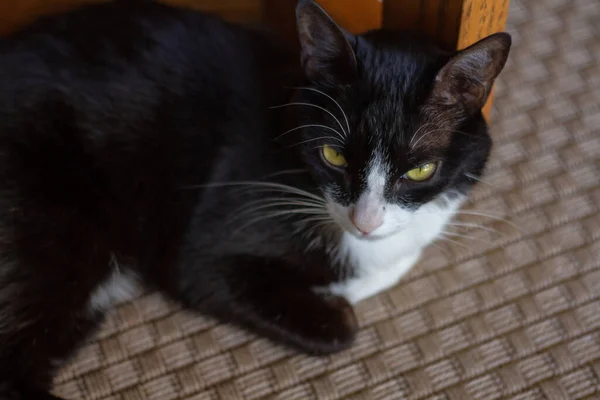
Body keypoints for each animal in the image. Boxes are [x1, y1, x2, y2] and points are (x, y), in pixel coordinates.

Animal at [0, 0, 510, 396]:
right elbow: (338, 324)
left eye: (420, 169)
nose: (364, 222)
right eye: (333, 155)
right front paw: (336, 299)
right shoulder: (209, 242)